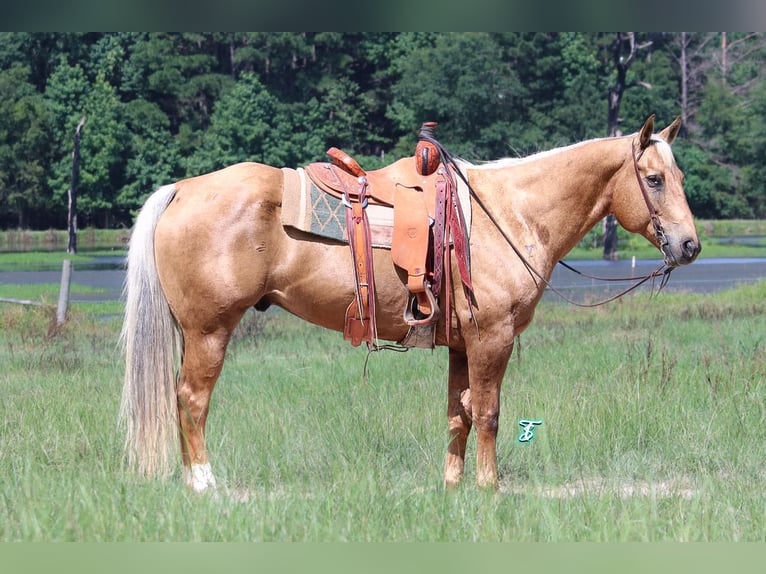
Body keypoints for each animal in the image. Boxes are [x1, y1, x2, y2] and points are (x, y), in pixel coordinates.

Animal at [120, 113, 704, 496]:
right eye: (654, 179)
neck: (508, 216)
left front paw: (452, 487)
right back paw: (203, 484)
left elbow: (457, 415)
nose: (689, 246)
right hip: (209, 331)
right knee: (192, 400)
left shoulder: (462, 344)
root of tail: (183, 188)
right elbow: (488, 413)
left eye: (678, 177)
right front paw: (490, 489)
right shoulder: (492, 338)